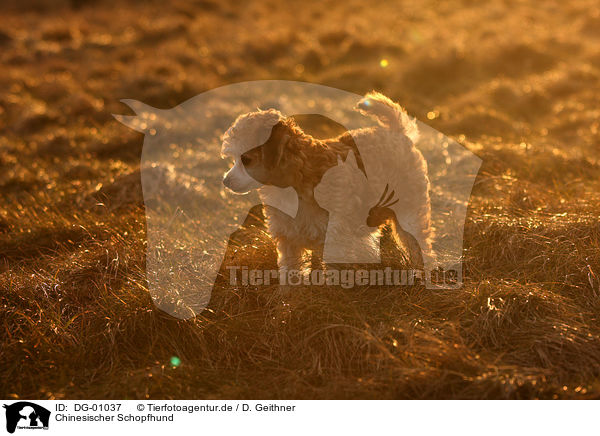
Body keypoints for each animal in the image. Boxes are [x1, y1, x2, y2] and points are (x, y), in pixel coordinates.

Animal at [220, 92, 432, 272]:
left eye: (246, 159)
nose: (225, 181)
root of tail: (398, 133)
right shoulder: (288, 239)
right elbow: (290, 274)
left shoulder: (335, 238)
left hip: (410, 210)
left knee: (418, 244)